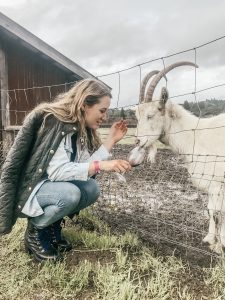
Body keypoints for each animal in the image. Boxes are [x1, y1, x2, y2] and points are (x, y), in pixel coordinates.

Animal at [129, 62, 225, 254]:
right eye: (137, 116)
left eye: (150, 115)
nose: (137, 141)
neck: (196, 136)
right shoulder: (211, 185)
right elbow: (211, 210)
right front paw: (209, 239)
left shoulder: (219, 184)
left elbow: (219, 213)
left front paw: (220, 246)